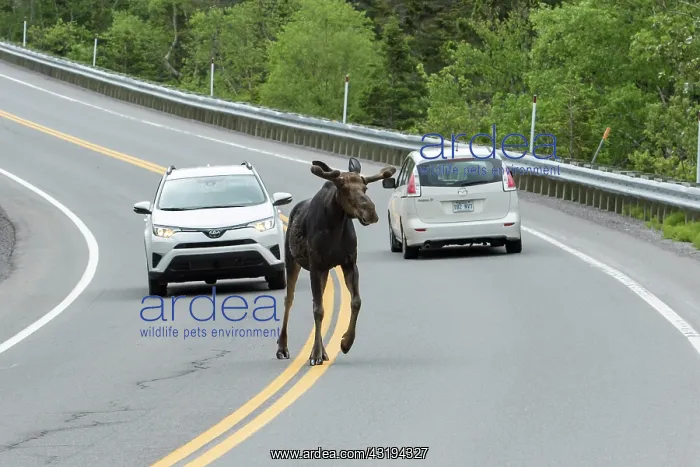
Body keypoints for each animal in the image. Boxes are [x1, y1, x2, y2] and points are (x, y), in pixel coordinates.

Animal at [276, 157, 396, 365]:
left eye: (365, 188)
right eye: (344, 188)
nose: (371, 212)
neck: (335, 225)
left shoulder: (349, 263)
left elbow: (356, 301)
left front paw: (346, 343)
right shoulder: (315, 266)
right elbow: (318, 310)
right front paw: (315, 354)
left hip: (324, 271)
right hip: (293, 261)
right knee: (288, 300)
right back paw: (282, 347)